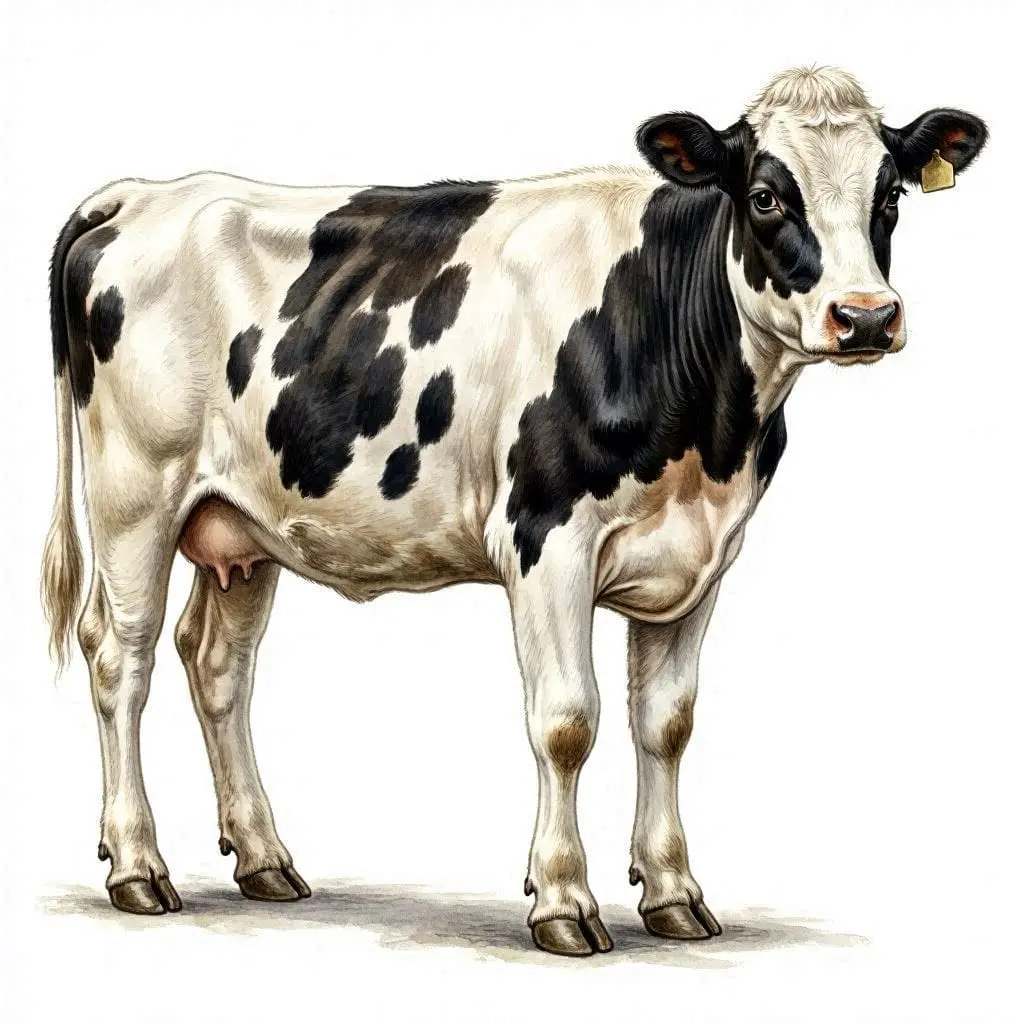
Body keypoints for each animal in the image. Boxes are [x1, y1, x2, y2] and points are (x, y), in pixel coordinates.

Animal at [41, 66, 986, 956]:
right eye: (764, 196)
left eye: (890, 195)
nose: (866, 317)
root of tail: (145, 193)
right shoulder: (546, 539)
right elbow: (567, 721)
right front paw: (563, 901)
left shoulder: (701, 556)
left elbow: (666, 724)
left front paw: (674, 894)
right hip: (135, 492)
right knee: (120, 658)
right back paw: (137, 866)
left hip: (241, 524)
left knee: (217, 666)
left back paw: (265, 859)